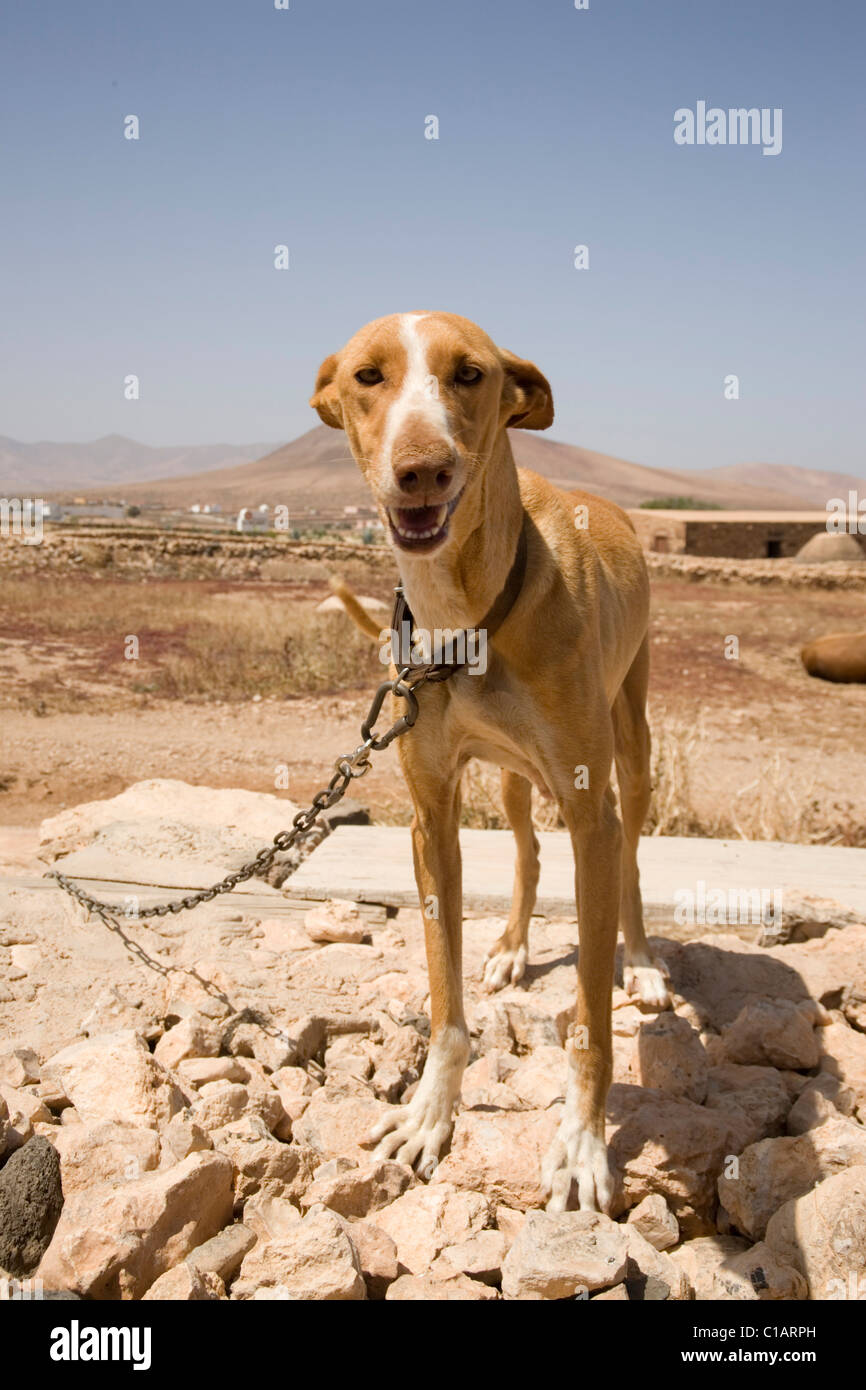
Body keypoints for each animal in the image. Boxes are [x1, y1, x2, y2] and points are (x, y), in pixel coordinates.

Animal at [311, 309, 670, 1212]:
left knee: (631, 858)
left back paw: (644, 963)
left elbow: (589, 1027)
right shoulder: (431, 813)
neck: (468, 612)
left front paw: (582, 1143)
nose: (421, 469)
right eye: (368, 376)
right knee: (528, 851)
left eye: (469, 374)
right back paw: (510, 945)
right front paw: (429, 1115)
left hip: (632, 744)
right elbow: (445, 1002)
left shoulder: (590, 809)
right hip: (510, 780)